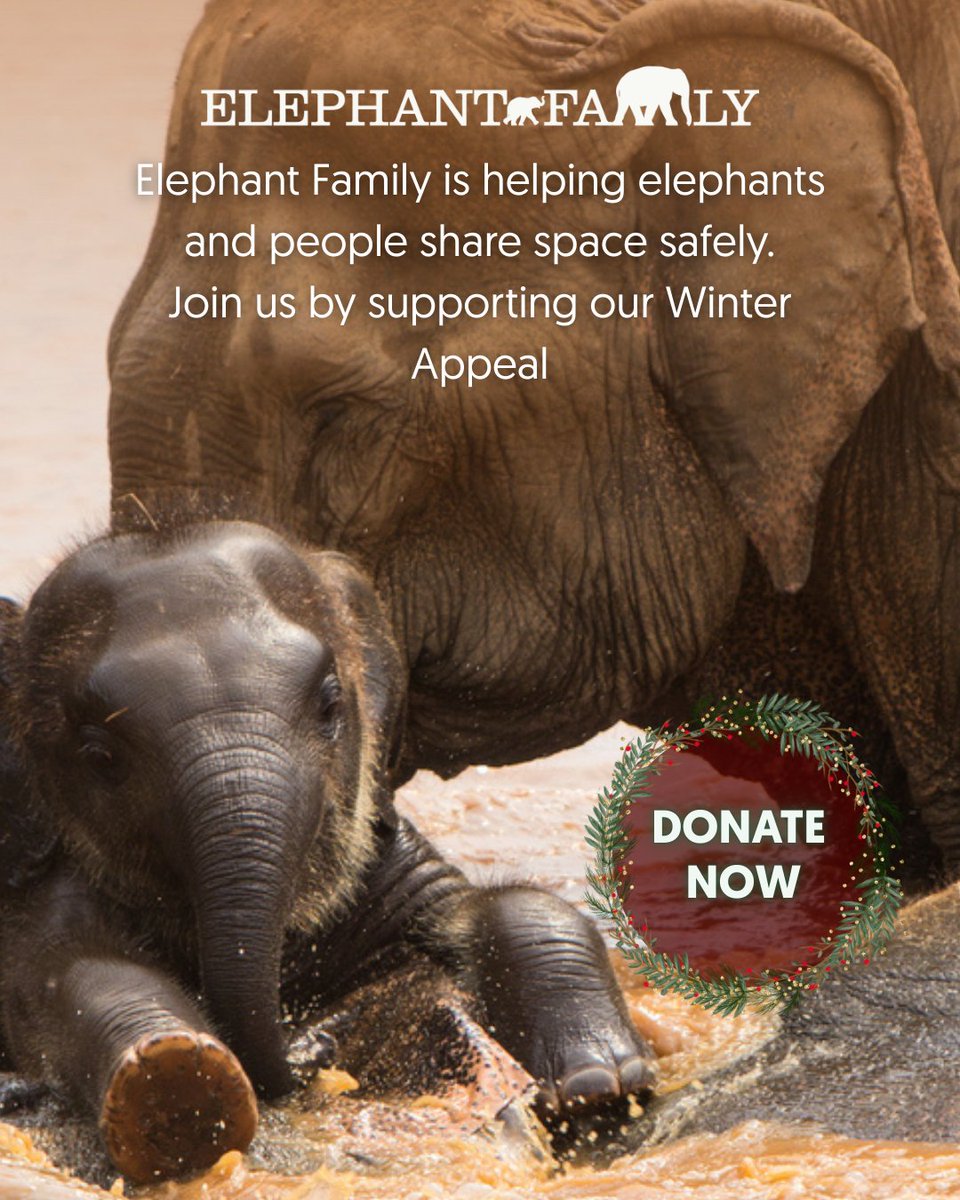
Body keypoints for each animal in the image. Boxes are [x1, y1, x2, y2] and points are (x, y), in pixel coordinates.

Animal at [0, 520, 653, 1182]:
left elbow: (478, 907)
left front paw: (597, 1084)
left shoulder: (379, 846)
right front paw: (176, 1080)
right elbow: (73, 970)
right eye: (99, 755)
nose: (314, 1041)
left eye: (330, 704)